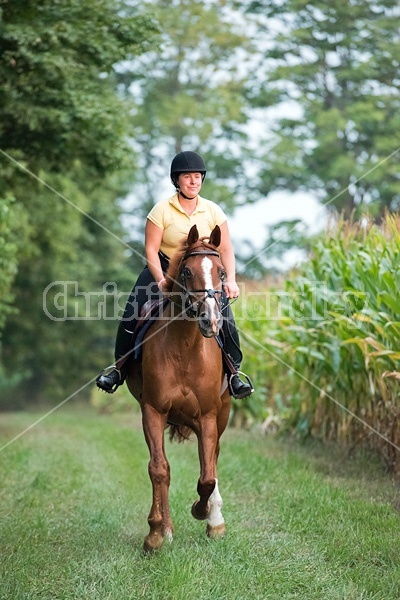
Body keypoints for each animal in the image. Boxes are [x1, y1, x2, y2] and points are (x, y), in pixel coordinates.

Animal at [125, 225, 231, 552]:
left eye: (222, 272)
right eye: (186, 271)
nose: (211, 320)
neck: (185, 348)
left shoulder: (208, 416)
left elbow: (207, 476)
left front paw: (202, 511)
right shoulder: (153, 411)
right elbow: (159, 469)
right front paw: (156, 533)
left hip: (221, 414)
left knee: (214, 460)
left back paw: (215, 520)